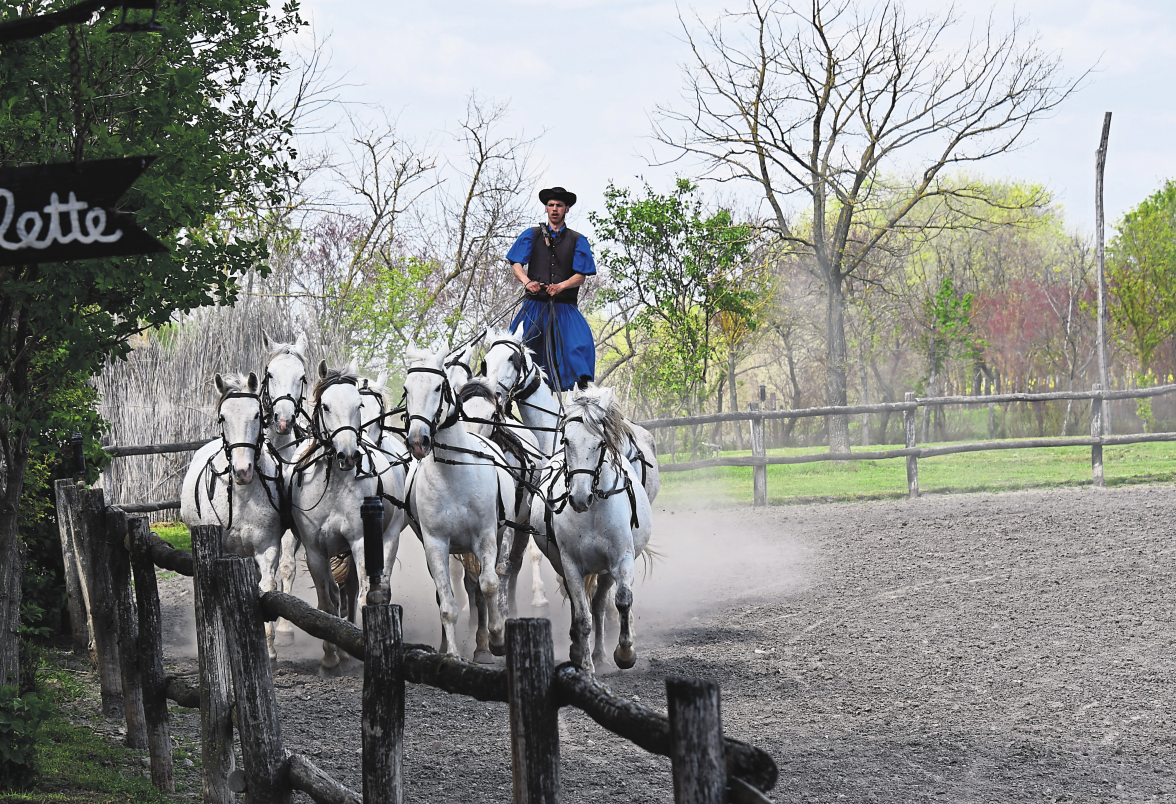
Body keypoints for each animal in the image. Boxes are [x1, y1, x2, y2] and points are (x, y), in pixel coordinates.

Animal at [182, 373, 285, 658]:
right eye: (223, 417)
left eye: (257, 415)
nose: (242, 470)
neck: (242, 495)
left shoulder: (267, 548)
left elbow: (266, 588)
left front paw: (269, 647)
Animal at [288, 362, 404, 677]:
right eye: (325, 406)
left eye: (358, 405)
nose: (349, 455)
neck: (335, 482)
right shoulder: (316, 552)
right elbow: (326, 602)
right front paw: (330, 656)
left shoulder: (361, 542)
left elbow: (364, 595)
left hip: (388, 538)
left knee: (369, 589)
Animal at [404, 343, 515, 658]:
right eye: (406, 389)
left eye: (438, 387)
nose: (417, 440)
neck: (454, 473)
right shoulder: (435, 544)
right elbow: (447, 604)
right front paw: (452, 653)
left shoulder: (486, 535)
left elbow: (489, 584)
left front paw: (497, 637)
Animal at [531, 385, 653, 677]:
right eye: (566, 441)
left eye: (600, 443)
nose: (579, 497)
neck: (593, 513)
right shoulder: (570, 565)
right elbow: (582, 616)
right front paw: (584, 665)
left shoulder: (621, 559)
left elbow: (621, 600)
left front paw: (625, 653)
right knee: (582, 605)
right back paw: (581, 650)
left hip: (605, 570)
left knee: (599, 604)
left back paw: (600, 654)